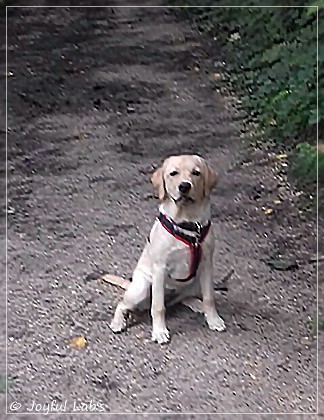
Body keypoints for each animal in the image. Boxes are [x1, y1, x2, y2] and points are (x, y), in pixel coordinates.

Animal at [109, 156, 225, 342]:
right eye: (173, 173)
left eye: (196, 173)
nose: (184, 186)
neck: (187, 222)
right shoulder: (160, 268)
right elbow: (158, 307)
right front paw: (159, 331)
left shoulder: (207, 264)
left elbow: (209, 298)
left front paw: (213, 320)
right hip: (141, 288)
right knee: (124, 304)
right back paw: (118, 322)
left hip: (195, 281)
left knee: (184, 297)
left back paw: (196, 304)